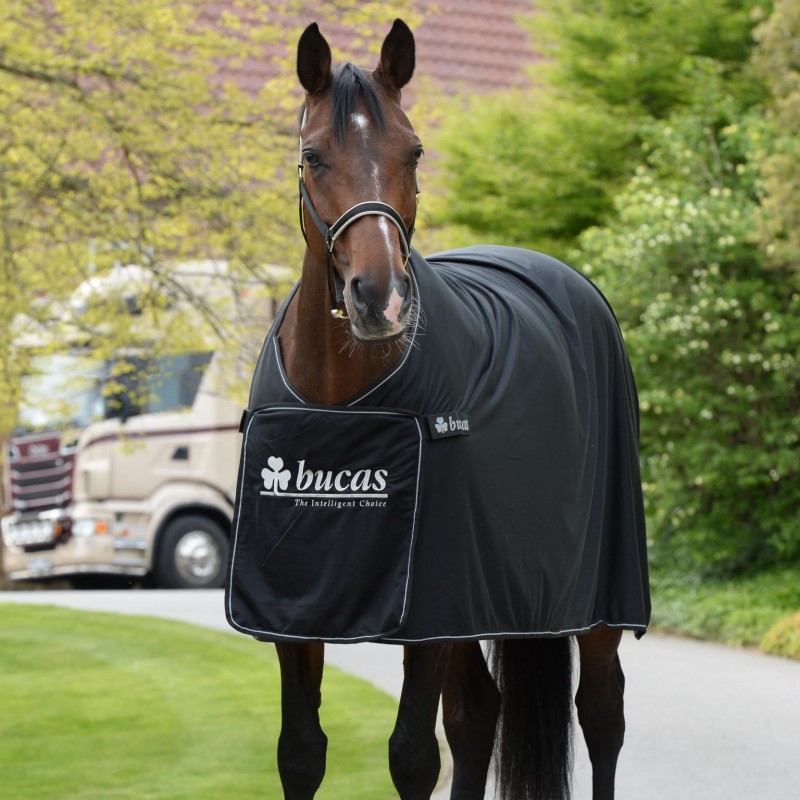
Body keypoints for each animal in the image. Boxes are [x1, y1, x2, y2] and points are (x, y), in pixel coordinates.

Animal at [244, 18, 648, 800]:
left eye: (415, 150)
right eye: (312, 155)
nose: (381, 298)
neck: (345, 405)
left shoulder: (428, 607)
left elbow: (411, 756)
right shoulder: (295, 612)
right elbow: (301, 751)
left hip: (591, 600)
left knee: (601, 712)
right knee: (477, 713)